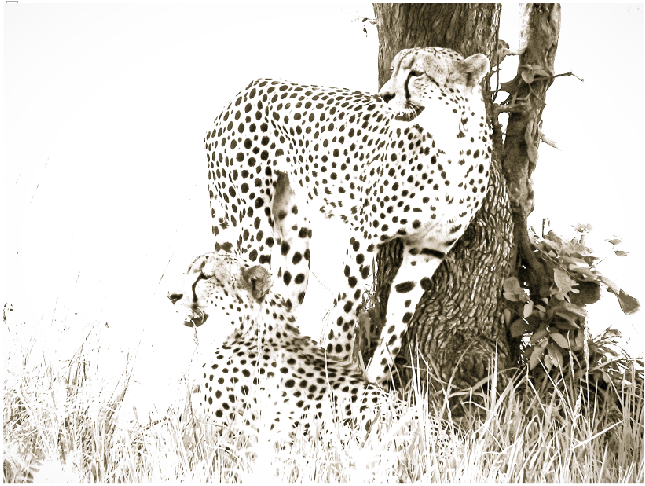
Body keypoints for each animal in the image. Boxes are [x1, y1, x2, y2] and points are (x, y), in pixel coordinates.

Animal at [204, 46, 492, 387]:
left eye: (417, 73)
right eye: (394, 69)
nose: (384, 95)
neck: (453, 146)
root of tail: (246, 90)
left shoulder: (428, 249)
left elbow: (398, 321)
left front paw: (377, 380)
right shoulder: (366, 235)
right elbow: (347, 305)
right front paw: (338, 369)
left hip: (297, 246)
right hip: (254, 228)